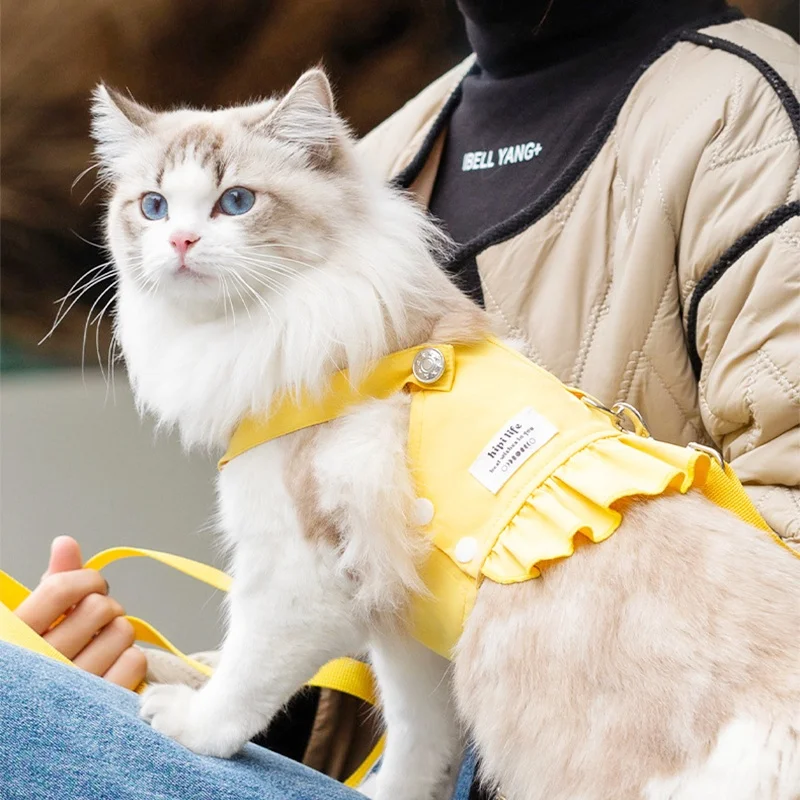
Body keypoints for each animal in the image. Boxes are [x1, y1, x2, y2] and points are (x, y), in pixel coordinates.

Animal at [89, 69, 800, 800]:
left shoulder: (300, 573)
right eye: (153, 207)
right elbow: (416, 746)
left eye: (235, 202)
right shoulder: (408, 627)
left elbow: (243, 679)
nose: (180, 243)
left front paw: (189, 724)